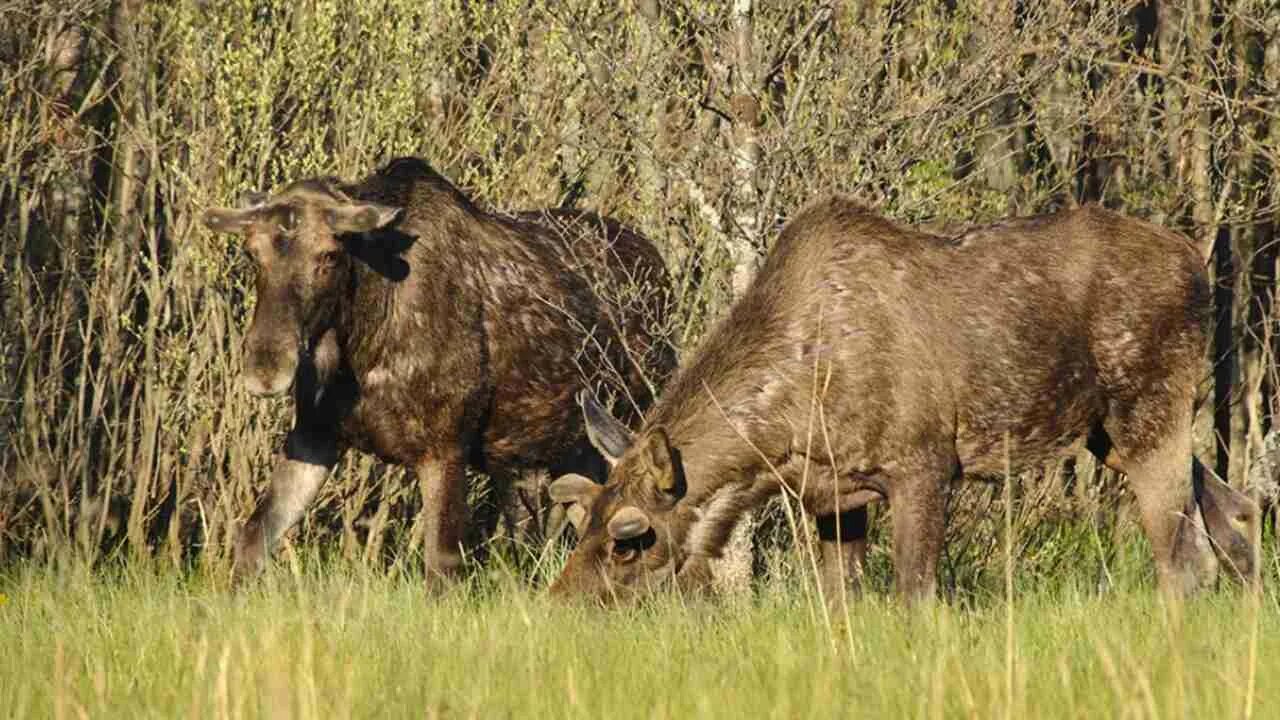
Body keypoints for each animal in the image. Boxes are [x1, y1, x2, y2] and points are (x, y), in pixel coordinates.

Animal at [203, 155, 675, 584]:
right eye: (252, 253)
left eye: (330, 255)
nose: (266, 368)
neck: (363, 340)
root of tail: (660, 265)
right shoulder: (315, 435)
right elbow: (251, 540)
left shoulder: (443, 448)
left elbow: (442, 567)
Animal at [550, 198, 1259, 602]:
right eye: (579, 522)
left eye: (629, 541)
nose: (565, 606)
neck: (785, 436)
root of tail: (1199, 265)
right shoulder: (834, 495)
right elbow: (841, 605)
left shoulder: (923, 463)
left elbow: (913, 597)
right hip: (1108, 433)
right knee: (1236, 512)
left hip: (1148, 410)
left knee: (1184, 557)